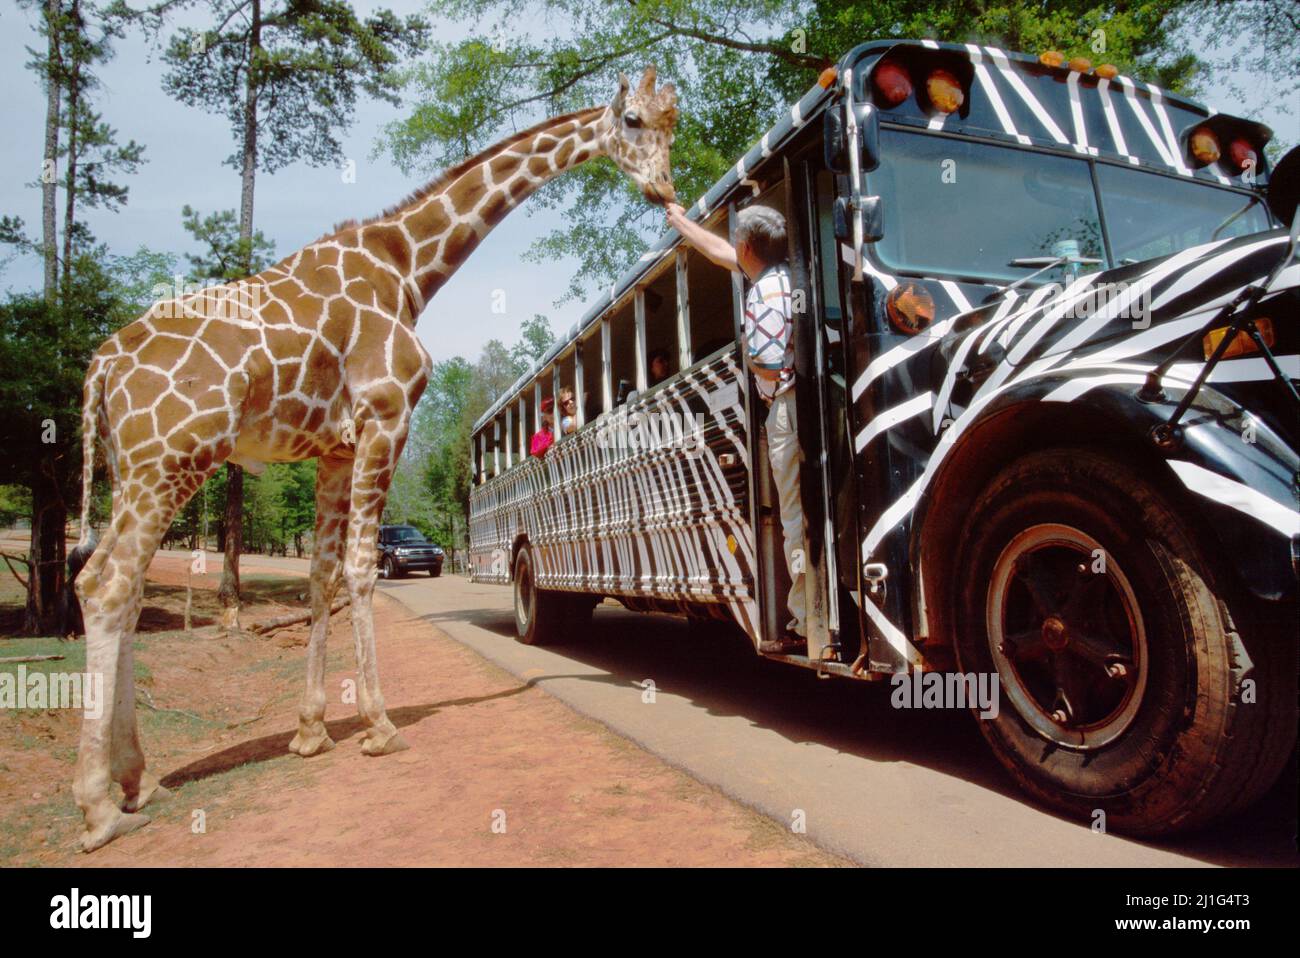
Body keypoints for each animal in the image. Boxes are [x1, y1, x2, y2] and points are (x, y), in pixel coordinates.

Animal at [69, 67, 678, 852]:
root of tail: (100, 369)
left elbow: (321, 575)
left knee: (115, 584)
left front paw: (310, 731)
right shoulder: (387, 417)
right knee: (108, 585)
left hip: (131, 468)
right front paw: (381, 725)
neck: (409, 265)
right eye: (632, 121)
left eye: (672, 124)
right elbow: (362, 567)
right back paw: (98, 805)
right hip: (171, 459)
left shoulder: (333, 447)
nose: (663, 188)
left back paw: (139, 779)